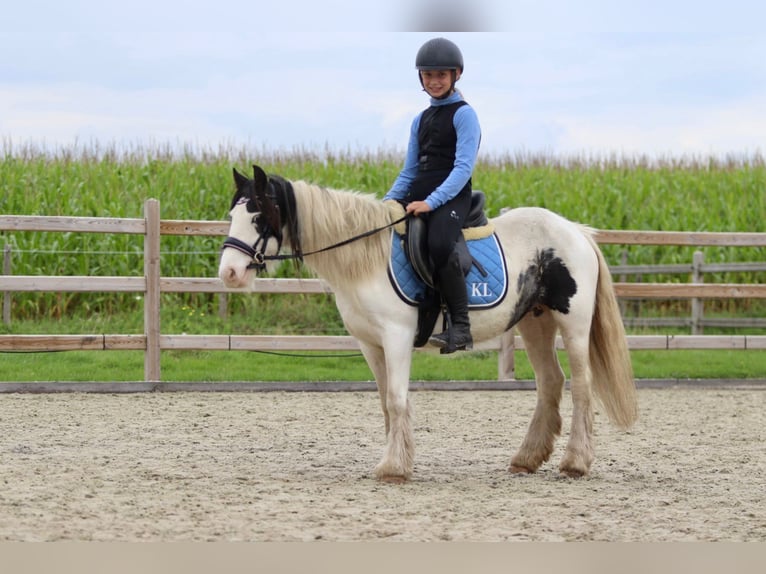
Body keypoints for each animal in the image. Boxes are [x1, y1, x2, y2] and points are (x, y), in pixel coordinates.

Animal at [219, 166, 640, 486]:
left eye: (257, 217)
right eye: (231, 217)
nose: (229, 273)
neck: (366, 259)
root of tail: (576, 232)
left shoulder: (397, 337)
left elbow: (396, 399)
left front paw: (394, 468)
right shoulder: (370, 345)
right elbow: (385, 403)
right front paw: (395, 460)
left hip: (573, 323)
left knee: (581, 386)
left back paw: (576, 463)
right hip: (535, 322)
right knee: (550, 382)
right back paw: (527, 459)